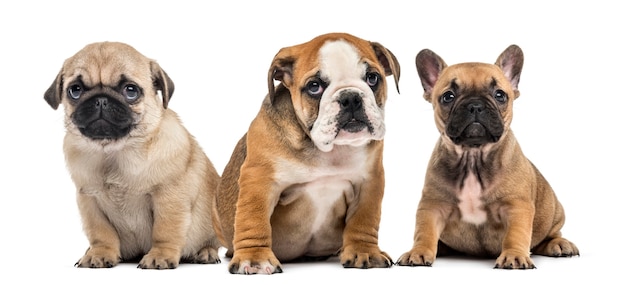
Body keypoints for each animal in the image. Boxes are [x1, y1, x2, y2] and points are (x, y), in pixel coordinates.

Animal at [44, 42, 219, 268]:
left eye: (130, 90)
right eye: (75, 90)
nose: (101, 100)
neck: (115, 152)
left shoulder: (169, 198)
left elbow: (165, 230)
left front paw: (160, 255)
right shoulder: (90, 201)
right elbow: (100, 233)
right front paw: (99, 253)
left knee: (211, 242)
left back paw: (205, 252)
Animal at [398, 44, 576, 268]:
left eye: (500, 95)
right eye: (448, 97)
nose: (475, 105)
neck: (472, 157)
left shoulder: (517, 207)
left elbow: (516, 234)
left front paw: (514, 255)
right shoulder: (433, 205)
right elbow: (424, 231)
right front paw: (419, 251)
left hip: (554, 212)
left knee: (549, 235)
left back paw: (558, 244)